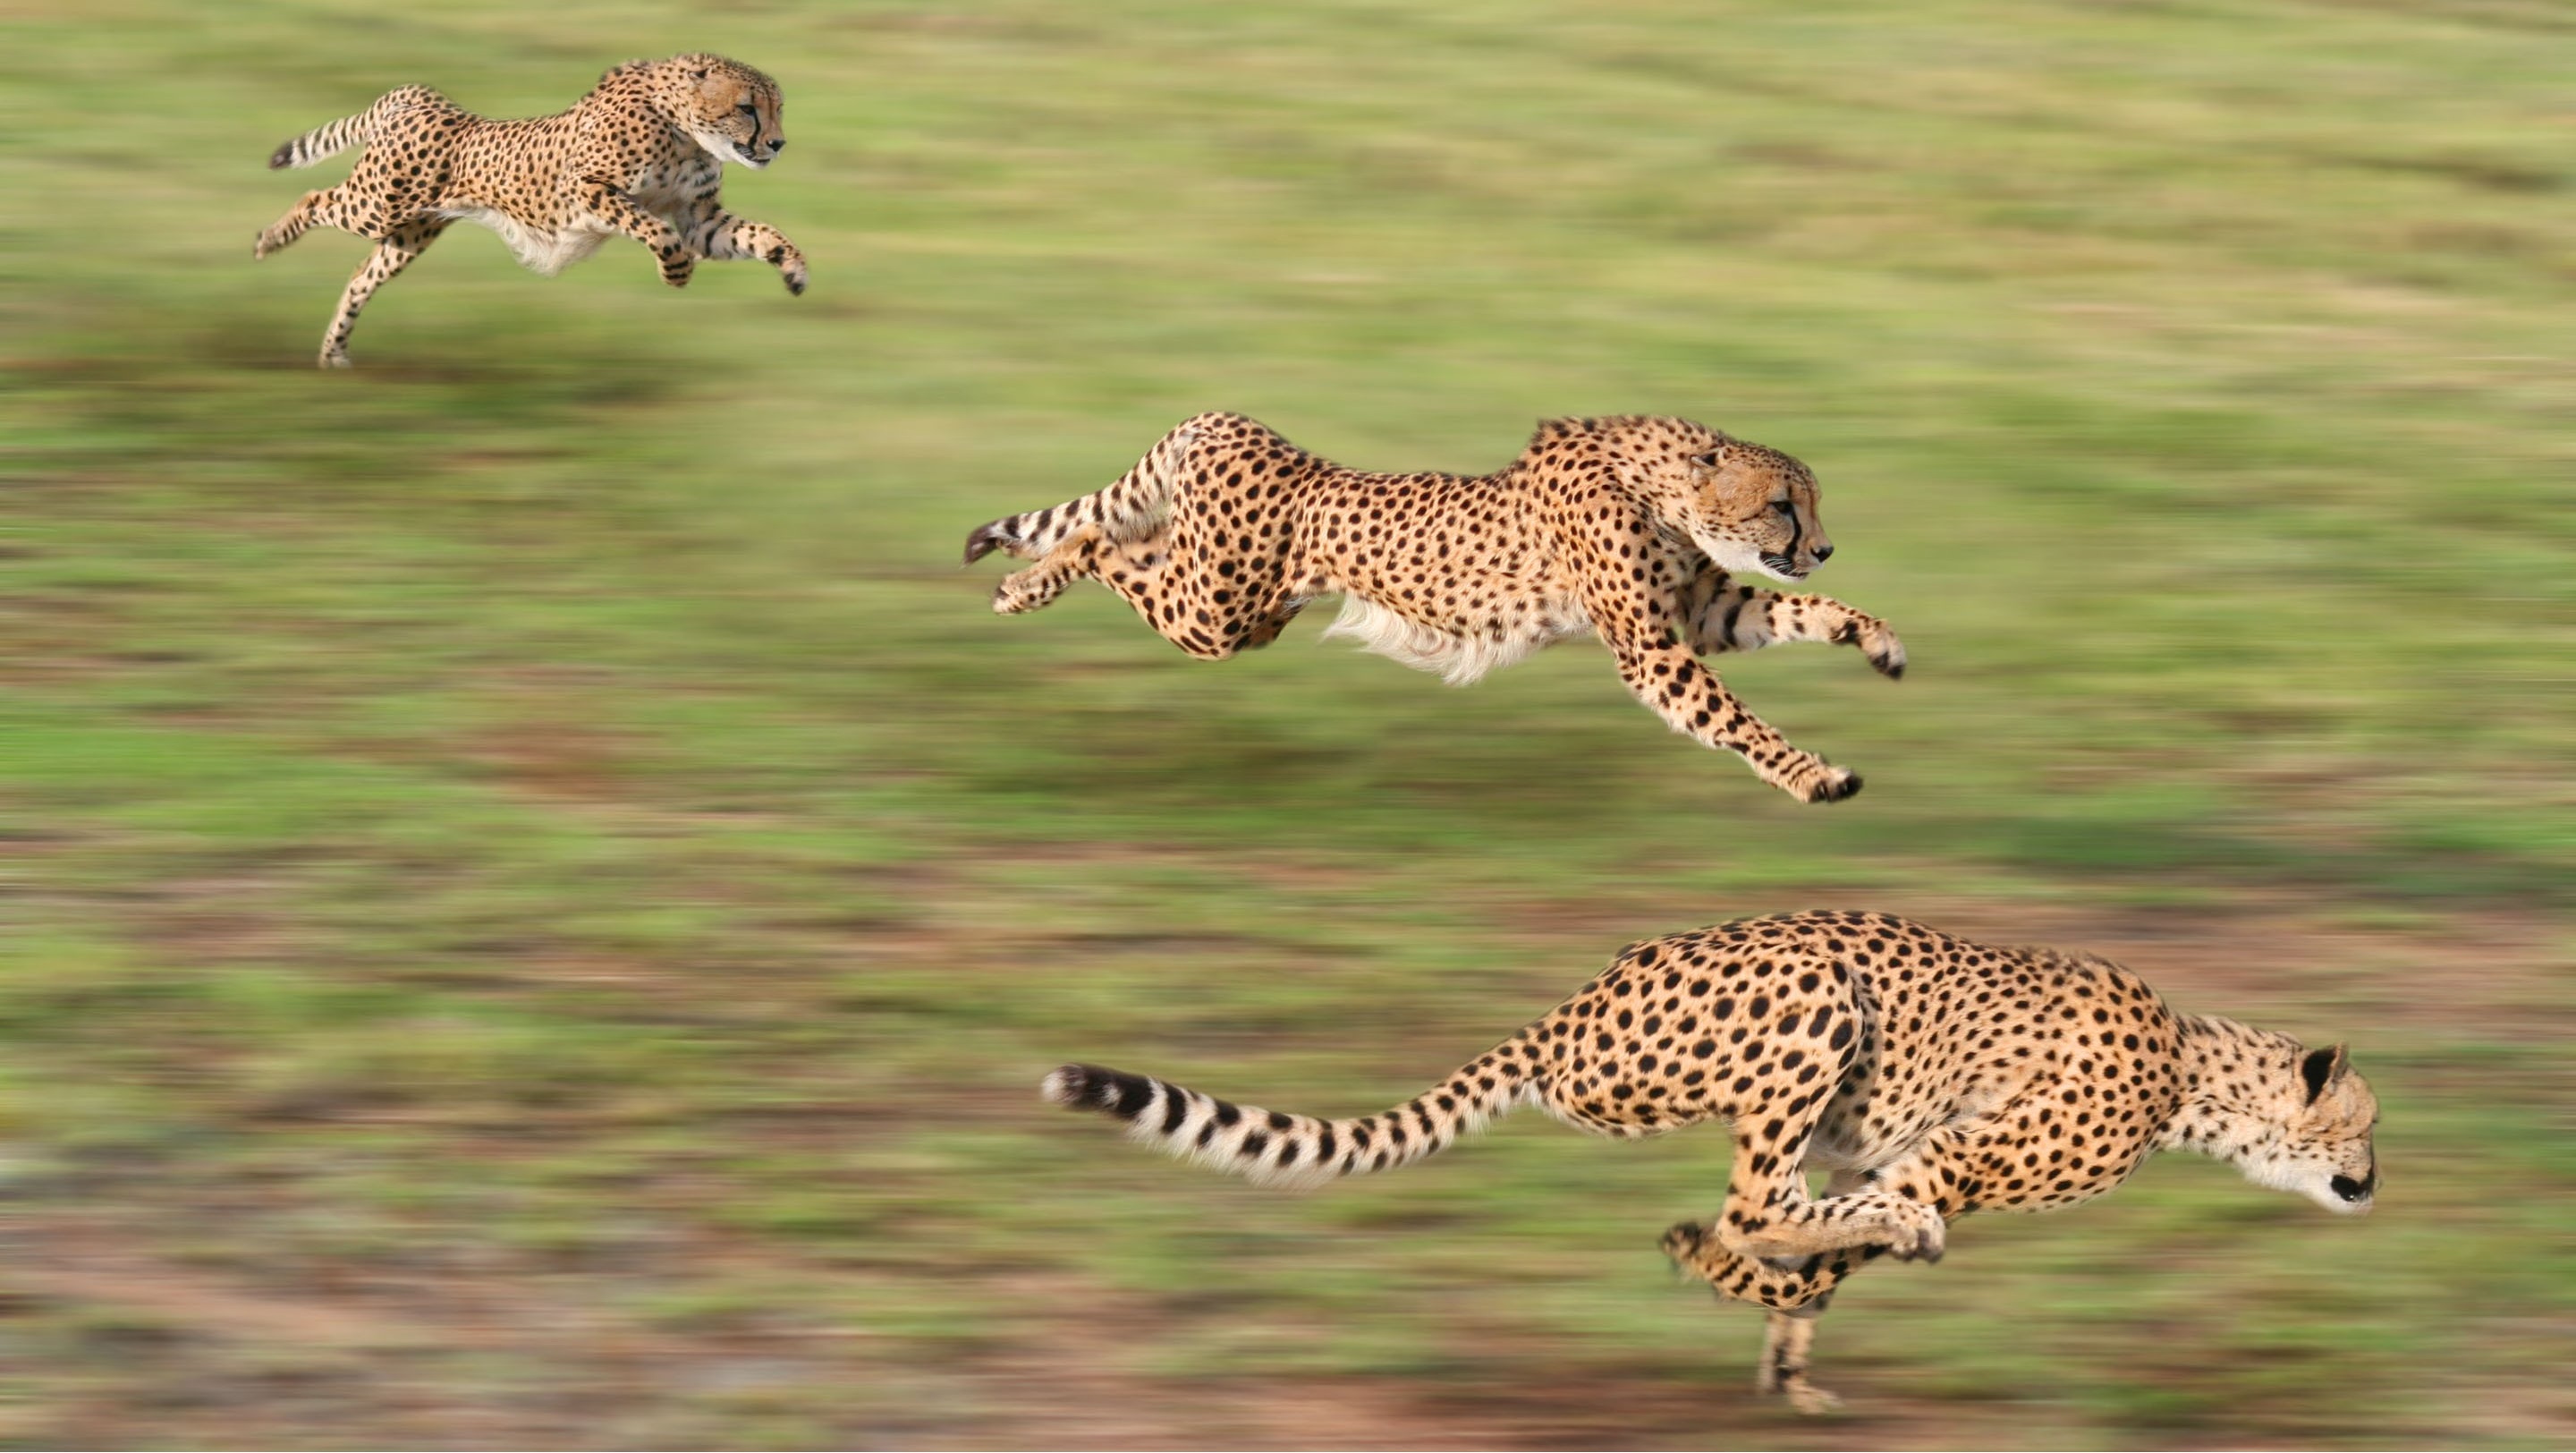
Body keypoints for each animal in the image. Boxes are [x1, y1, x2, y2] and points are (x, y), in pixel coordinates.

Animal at [253, 55, 803, 368]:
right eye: (747, 107)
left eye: (778, 108)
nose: (778, 144)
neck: (685, 132)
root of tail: (423, 96)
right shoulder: (586, 189)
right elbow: (654, 230)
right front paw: (676, 273)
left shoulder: (698, 219)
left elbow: (759, 233)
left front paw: (793, 267)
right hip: (377, 204)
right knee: (314, 199)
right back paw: (270, 240)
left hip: (409, 234)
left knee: (360, 278)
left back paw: (333, 351)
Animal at [968, 412, 1916, 803]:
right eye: (1785, 505)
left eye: (1808, 505)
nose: (1823, 546)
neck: (1662, 486)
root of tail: (1231, 422)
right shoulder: (1653, 648)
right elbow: (1738, 720)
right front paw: (1813, 776)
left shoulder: (1703, 613)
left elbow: (1805, 611)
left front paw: (1876, 638)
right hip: (1215, 613)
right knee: (1099, 540)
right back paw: (1023, 585)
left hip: (1236, 603)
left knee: (1118, 541)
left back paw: (1023, 575)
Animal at [1040, 912, 2369, 1411]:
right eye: (2364, 1126)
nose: (2376, 1181)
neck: (2196, 1069)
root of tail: (1576, 1004)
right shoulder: (1956, 1151)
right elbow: (1847, 1230)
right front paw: (1773, 1306)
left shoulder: (1913, 1154)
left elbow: (1834, 1251)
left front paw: (1786, 1357)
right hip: (1816, 1001)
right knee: (1750, 1201)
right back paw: (1709, 1244)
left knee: (1765, 1203)